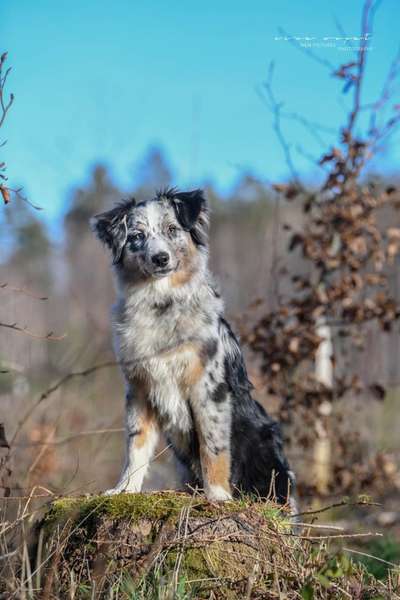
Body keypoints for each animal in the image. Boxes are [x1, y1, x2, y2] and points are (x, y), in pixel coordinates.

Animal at [92, 188, 296, 502]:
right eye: (137, 235)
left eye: (172, 230)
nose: (160, 258)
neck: (160, 304)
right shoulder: (140, 388)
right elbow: (136, 446)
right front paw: (124, 489)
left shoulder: (208, 388)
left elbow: (213, 447)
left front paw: (217, 496)